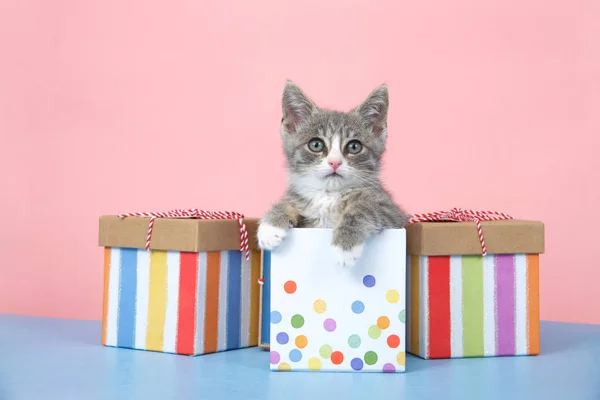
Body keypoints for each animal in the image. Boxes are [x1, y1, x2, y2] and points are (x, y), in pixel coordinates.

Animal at [258, 80, 408, 268]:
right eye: (316, 144)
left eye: (354, 146)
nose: (335, 162)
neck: (329, 195)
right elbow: (288, 203)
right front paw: (271, 226)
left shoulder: (393, 213)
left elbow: (363, 208)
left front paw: (345, 247)